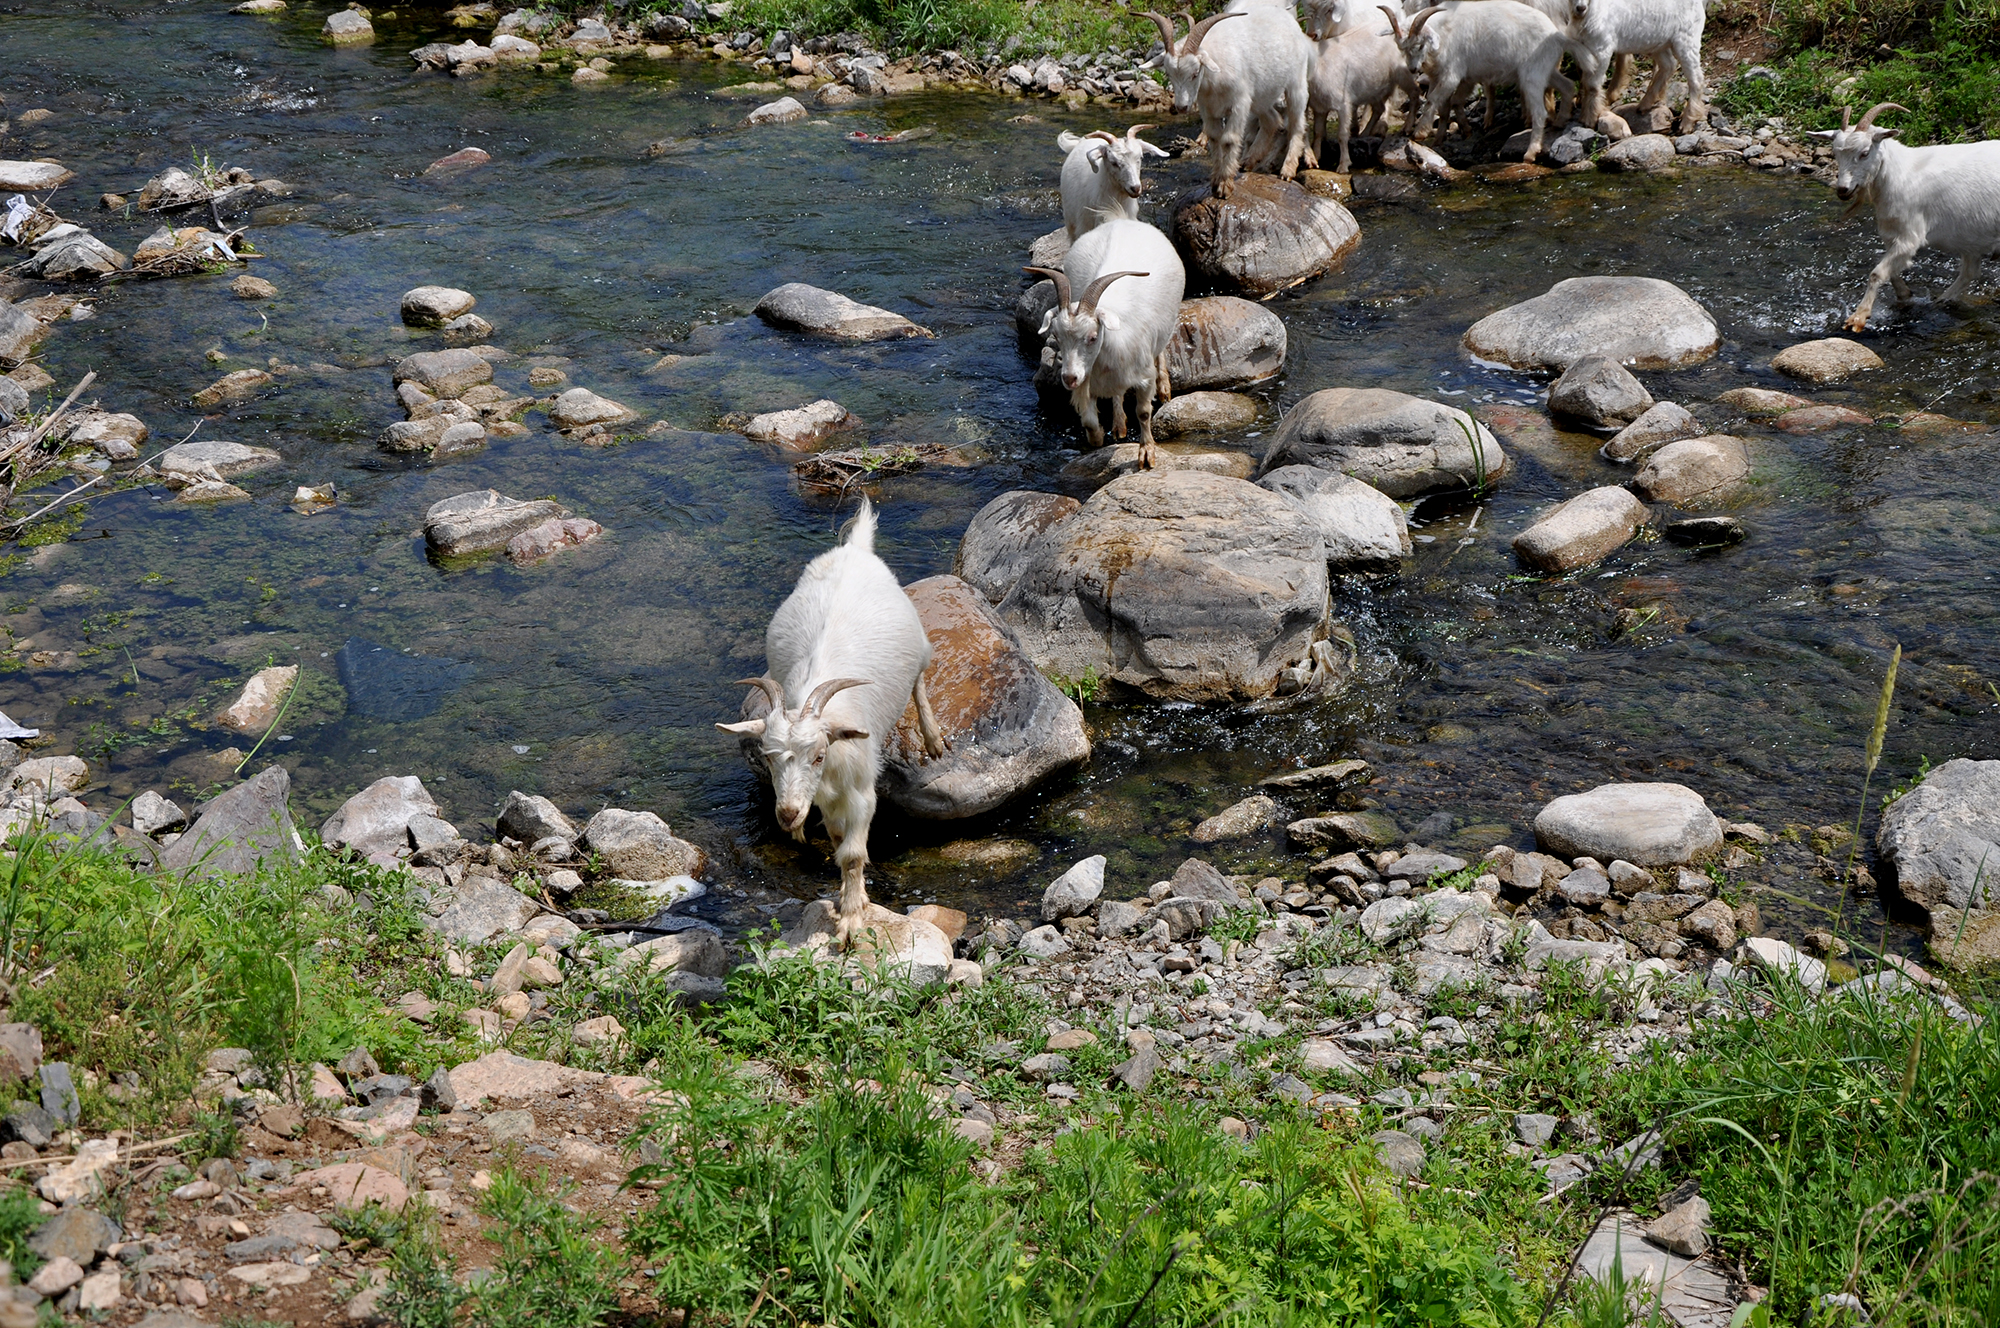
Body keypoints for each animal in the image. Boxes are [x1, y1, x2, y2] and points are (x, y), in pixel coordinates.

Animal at [1032, 213, 1184, 466]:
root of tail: (1120, 219)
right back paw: (1119, 424)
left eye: (1093, 337)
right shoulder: (1087, 382)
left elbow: (1143, 413)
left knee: (1161, 349)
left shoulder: (1144, 378)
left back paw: (1164, 388)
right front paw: (1097, 437)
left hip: (1167, 323)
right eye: (1057, 337)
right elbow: (1088, 420)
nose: (1069, 378)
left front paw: (1146, 455)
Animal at [1144, 5, 1312, 195]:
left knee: (1297, 125)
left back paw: (1287, 170)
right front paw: (1216, 181)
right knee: (1272, 120)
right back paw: (1248, 161)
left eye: (1195, 73)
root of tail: (1290, 19)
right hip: (1260, 97)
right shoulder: (1208, 108)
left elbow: (1229, 139)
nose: (1181, 107)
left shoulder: (1239, 104)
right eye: (1169, 74)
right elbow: (1214, 138)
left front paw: (1225, 185)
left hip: (1296, 83)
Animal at [1384, 2, 1568, 162]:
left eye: (1420, 45)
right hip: (1546, 69)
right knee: (1567, 85)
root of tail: (1556, 34)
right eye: (1402, 48)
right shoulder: (1446, 77)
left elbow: (1433, 100)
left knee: (1540, 111)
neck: (1444, 33)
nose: (1413, 69)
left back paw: (1530, 153)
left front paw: (1420, 132)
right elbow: (1448, 105)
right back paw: (1560, 121)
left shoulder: (1452, 75)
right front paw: (1452, 134)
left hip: (1532, 75)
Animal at [1568, 0, 1712, 134]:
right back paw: (1645, 104)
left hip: (1687, 37)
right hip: (1658, 41)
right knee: (1669, 65)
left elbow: (1592, 85)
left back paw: (1687, 122)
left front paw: (1589, 119)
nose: (1581, 8)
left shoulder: (1601, 47)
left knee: (1696, 78)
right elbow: (1585, 80)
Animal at [1808, 102, 2000, 332]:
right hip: (1971, 239)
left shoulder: (1910, 235)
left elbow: (1877, 273)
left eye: (1865, 153)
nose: (1843, 190)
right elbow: (1889, 270)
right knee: (1970, 272)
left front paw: (1858, 318)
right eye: (1835, 153)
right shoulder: (1893, 235)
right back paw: (1940, 301)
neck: (1898, 173)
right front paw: (1905, 295)